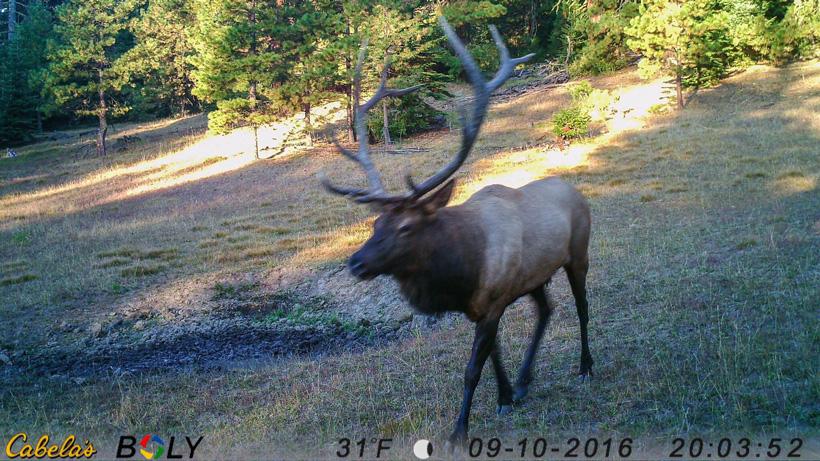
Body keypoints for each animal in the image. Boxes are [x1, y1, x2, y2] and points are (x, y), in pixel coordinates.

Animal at [319, 17, 594, 448]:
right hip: (534, 275)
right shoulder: (483, 305)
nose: (356, 263)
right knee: (547, 309)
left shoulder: (494, 301)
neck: (462, 272)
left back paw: (585, 366)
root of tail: (576, 191)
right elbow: (493, 355)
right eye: (376, 223)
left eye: (406, 226)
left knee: (582, 307)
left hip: (578, 253)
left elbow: (471, 369)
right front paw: (505, 397)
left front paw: (459, 430)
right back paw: (524, 382)